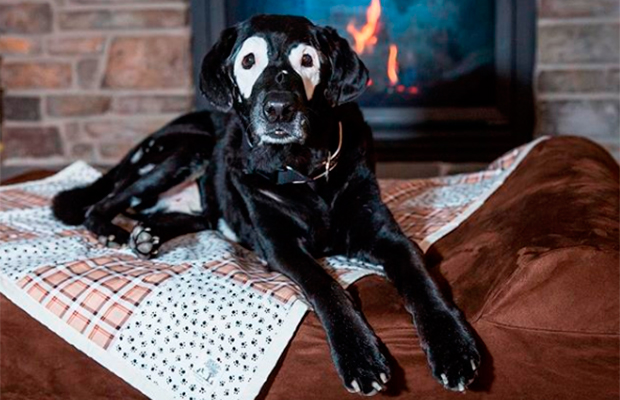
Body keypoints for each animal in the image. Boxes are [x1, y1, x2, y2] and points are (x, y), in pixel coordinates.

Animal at [52, 14, 480, 396]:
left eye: (307, 60)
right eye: (248, 61)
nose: (278, 109)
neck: (304, 171)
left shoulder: (387, 236)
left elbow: (421, 281)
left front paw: (453, 346)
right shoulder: (281, 246)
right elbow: (325, 286)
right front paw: (358, 353)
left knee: (186, 216)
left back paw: (147, 236)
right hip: (186, 148)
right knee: (101, 203)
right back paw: (112, 231)